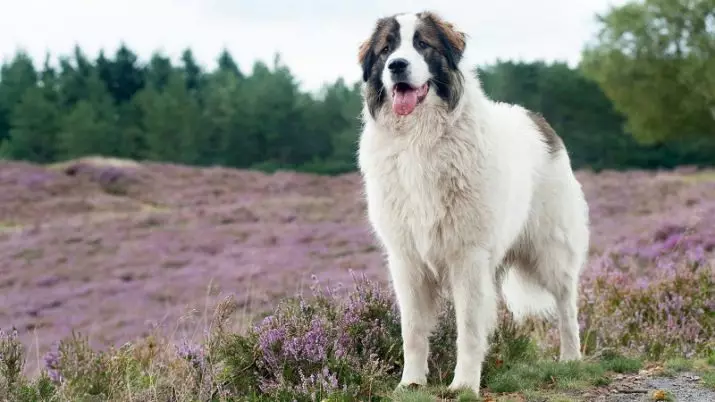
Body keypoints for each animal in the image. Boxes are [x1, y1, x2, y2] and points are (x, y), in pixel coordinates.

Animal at [356, 10, 592, 396]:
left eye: (422, 44)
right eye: (386, 49)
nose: (397, 65)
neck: (420, 138)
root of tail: (538, 121)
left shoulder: (467, 256)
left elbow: (467, 328)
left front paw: (464, 385)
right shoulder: (407, 260)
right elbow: (413, 330)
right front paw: (411, 382)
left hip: (551, 251)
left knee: (566, 304)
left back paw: (571, 359)